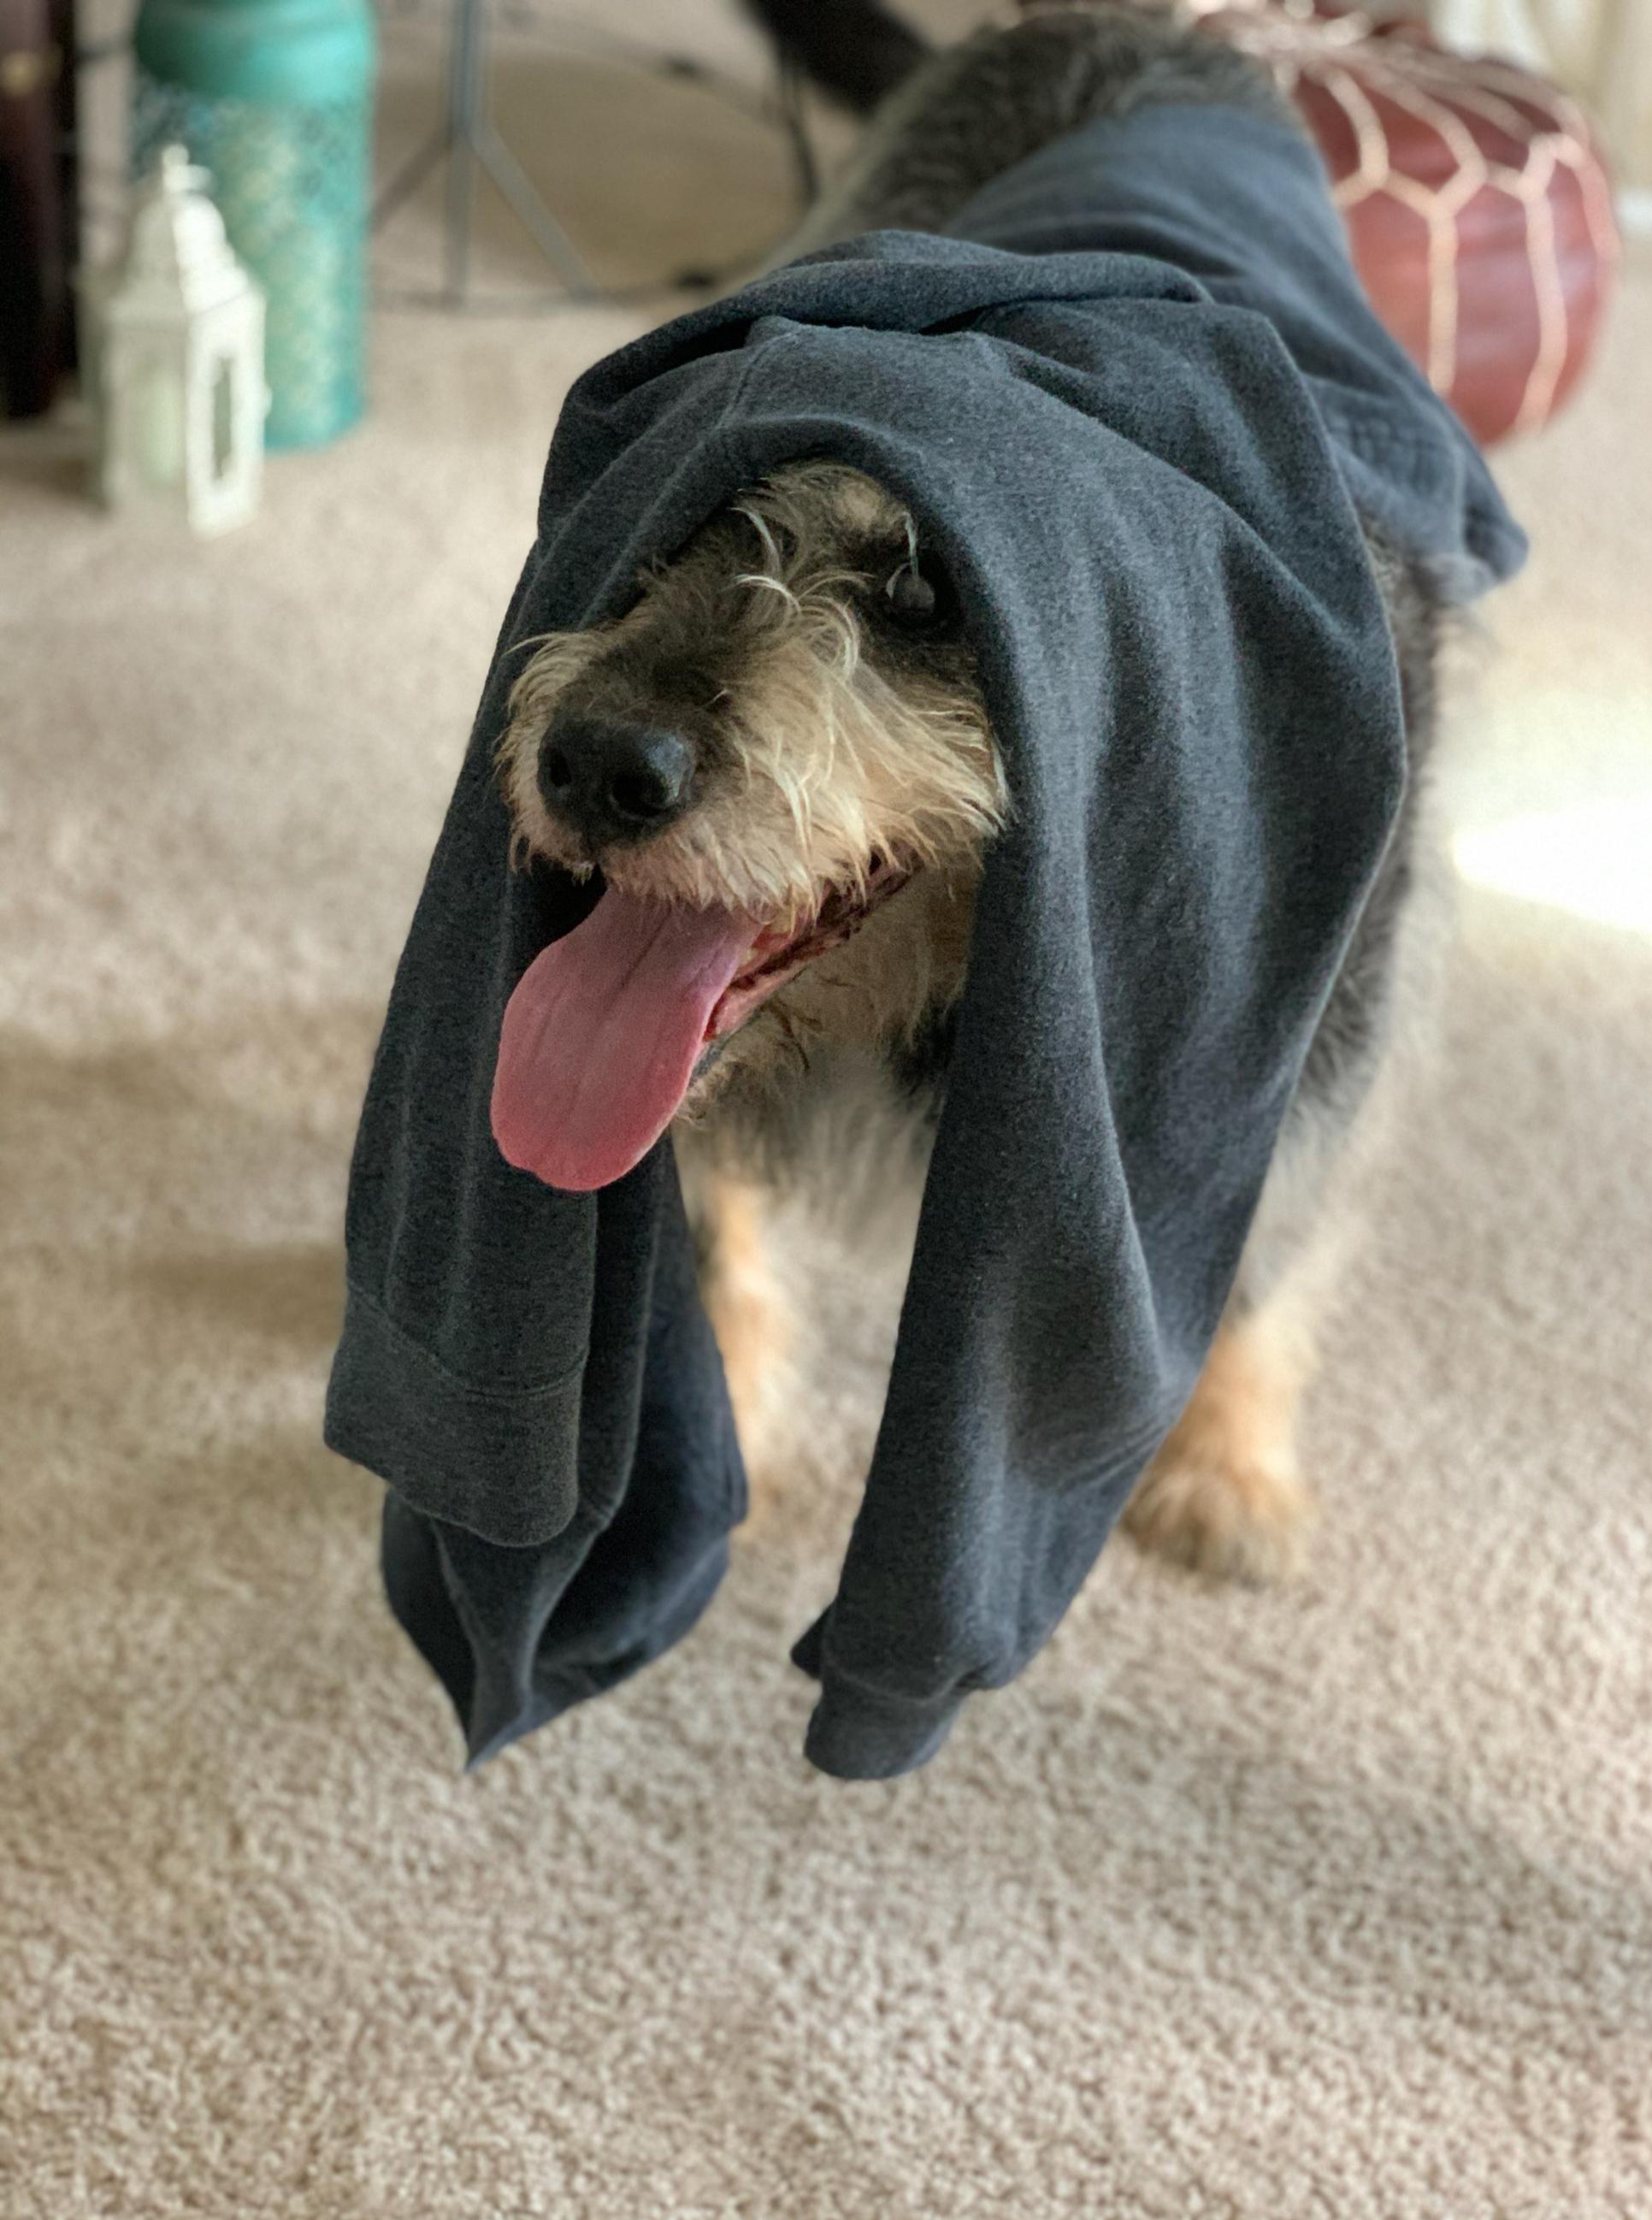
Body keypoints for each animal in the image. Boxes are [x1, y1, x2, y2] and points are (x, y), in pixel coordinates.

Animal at [494, 5, 1447, 1585]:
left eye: (927, 589)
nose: (591, 762)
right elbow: (711, 1218)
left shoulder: (1306, 1036)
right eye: (682, 503)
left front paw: (1228, 1455)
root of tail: (1109, 26)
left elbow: (1266, 1249)